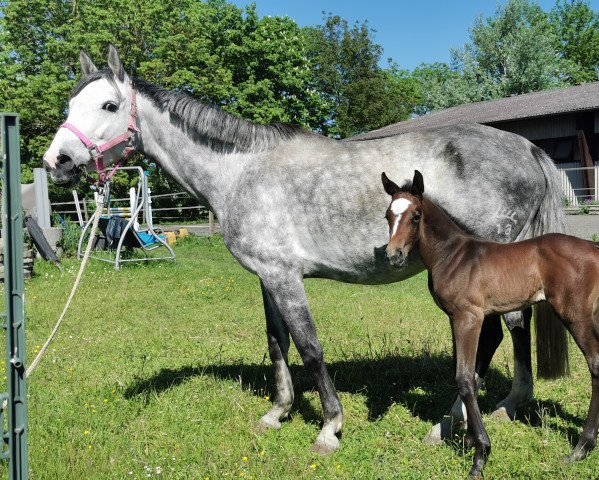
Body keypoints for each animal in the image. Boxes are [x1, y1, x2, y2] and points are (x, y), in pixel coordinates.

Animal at [44, 46, 568, 454]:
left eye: (109, 104)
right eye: (70, 104)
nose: (57, 162)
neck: (242, 172)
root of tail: (525, 148)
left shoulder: (286, 278)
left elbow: (310, 347)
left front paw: (330, 427)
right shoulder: (267, 276)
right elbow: (277, 343)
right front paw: (277, 413)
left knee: (502, 331)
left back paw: (461, 419)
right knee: (509, 330)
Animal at [384, 171, 599, 478]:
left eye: (416, 215)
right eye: (388, 215)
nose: (394, 255)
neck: (453, 255)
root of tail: (593, 248)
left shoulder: (469, 317)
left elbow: (465, 378)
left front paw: (480, 455)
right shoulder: (454, 317)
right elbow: (468, 375)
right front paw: (469, 439)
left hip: (575, 315)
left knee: (596, 364)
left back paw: (580, 448)